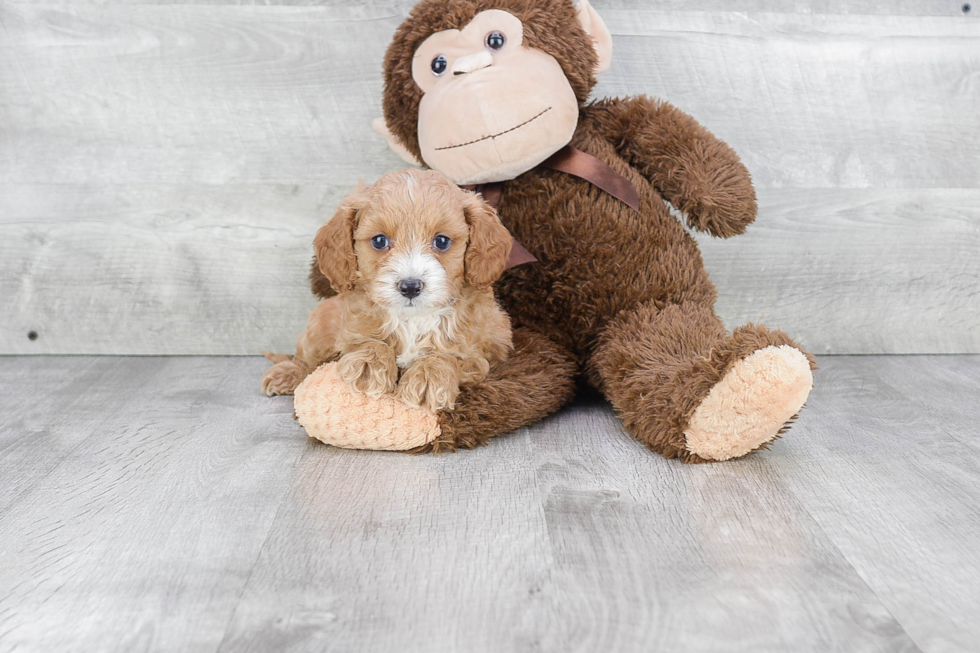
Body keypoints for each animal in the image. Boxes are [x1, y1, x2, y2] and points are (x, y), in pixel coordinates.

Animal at [264, 169, 516, 412]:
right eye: (379, 241)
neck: (413, 319)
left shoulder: (480, 354)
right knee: (307, 357)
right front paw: (369, 363)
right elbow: (365, 340)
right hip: (322, 322)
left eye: (442, 241)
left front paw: (429, 375)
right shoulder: (351, 328)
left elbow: (449, 355)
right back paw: (287, 373)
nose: (411, 286)